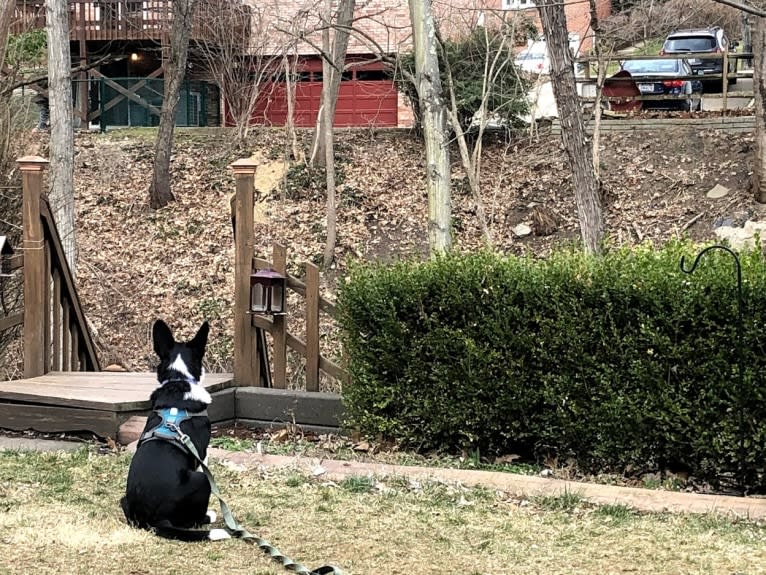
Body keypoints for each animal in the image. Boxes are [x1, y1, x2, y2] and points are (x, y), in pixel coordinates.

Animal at [121, 322, 231, 544]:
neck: (178, 380)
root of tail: (153, 520)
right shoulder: (201, 456)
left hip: (124, 500)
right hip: (202, 480)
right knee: (190, 521)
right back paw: (208, 517)